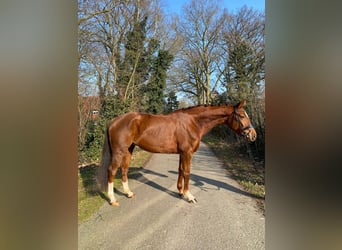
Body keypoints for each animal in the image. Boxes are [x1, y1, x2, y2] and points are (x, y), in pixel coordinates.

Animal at [97, 100, 255, 206]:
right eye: (242, 116)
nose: (253, 135)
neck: (193, 122)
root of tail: (114, 120)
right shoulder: (187, 153)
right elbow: (187, 172)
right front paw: (189, 196)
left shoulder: (182, 153)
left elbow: (180, 170)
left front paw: (180, 191)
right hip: (119, 151)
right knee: (112, 170)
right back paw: (112, 199)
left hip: (129, 149)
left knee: (124, 169)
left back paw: (128, 193)